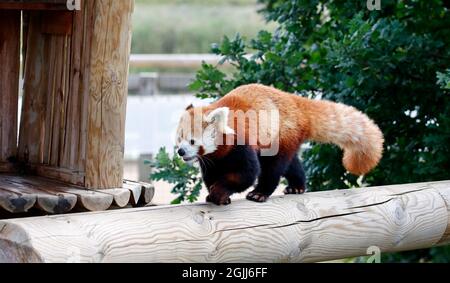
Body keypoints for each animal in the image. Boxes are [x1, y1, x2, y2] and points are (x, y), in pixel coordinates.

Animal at [176, 83, 384, 205]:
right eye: (179, 139)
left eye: (192, 141)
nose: (180, 151)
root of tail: (293, 101)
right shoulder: (215, 159)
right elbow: (211, 175)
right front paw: (213, 194)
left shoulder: (241, 144)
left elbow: (246, 174)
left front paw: (220, 192)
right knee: (292, 164)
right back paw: (297, 186)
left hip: (281, 135)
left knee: (273, 168)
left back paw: (260, 193)